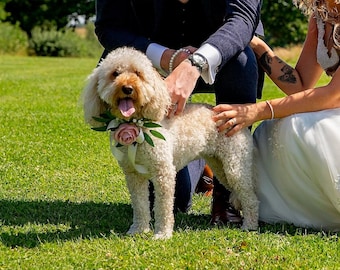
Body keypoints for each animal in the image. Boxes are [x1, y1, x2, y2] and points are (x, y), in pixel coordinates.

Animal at [82, 47, 258, 239]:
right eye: (115, 73)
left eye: (138, 73)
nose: (127, 88)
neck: (138, 124)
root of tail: (238, 117)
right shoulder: (134, 175)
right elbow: (140, 205)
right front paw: (138, 230)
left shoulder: (164, 173)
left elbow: (163, 207)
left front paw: (162, 234)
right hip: (219, 166)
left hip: (235, 165)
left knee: (251, 197)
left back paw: (250, 225)